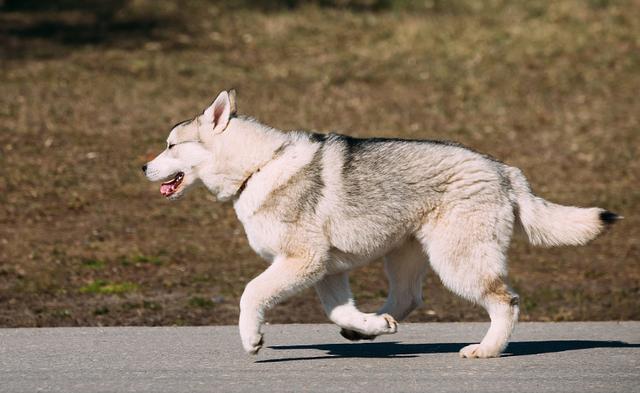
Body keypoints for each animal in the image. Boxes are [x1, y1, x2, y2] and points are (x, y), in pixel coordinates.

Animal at [142, 90, 616, 356]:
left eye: (170, 146)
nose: (142, 167)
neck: (259, 166)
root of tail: (504, 170)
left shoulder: (302, 262)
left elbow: (250, 295)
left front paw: (251, 339)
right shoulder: (326, 271)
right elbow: (337, 309)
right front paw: (365, 326)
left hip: (457, 263)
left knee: (506, 302)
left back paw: (485, 350)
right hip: (404, 256)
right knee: (407, 299)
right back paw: (373, 328)